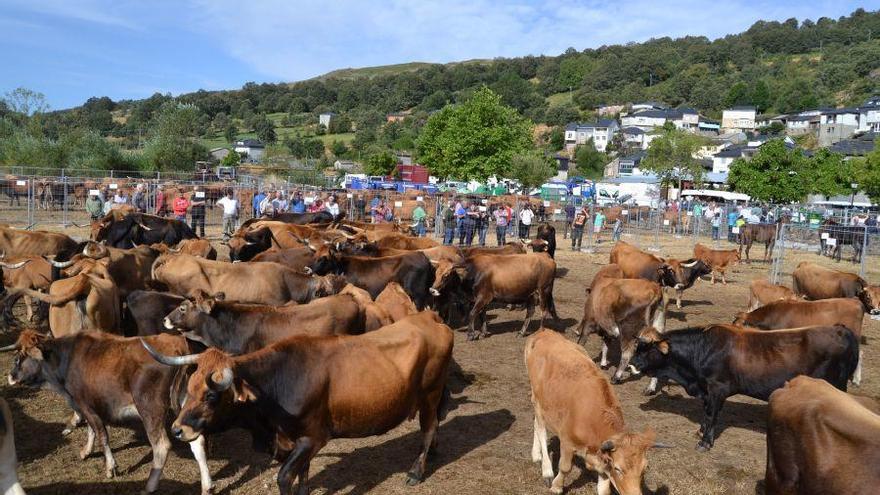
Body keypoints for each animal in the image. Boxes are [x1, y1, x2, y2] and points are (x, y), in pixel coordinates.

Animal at [6, 330, 213, 495]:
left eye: (19, 356)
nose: (10, 376)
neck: (67, 359)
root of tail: (180, 347)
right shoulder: (88, 405)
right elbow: (91, 430)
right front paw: (85, 451)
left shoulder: (86, 405)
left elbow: (101, 434)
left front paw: (110, 467)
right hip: (187, 406)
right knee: (197, 442)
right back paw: (207, 486)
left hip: (149, 409)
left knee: (161, 446)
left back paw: (149, 487)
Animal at [144, 312, 454, 495]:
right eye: (190, 387)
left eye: (211, 396)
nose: (178, 429)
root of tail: (431, 317)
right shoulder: (296, 440)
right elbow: (303, 474)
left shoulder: (313, 438)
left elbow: (285, 477)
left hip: (430, 393)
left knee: (429, 428)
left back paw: (416, 471)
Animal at [524, 330, 660, 495]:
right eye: (618, 468)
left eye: (644, 469)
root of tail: (544, 331)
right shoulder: (567, 441)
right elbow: (565, 468)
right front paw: (556, 486)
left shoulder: (602, 463)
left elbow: (604, 489)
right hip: (537, 399)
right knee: (541, 429)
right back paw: (547, 470)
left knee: (536, 424)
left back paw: (536, 455)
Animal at [632, 326, 860, 454]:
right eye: (637, 348)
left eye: (647, 349)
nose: (631, 365)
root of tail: (843, 330)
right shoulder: (707, 390)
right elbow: (706, 414)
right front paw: (702, 432)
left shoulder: (717, 389)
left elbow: (712, 415)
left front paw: (705, 442)